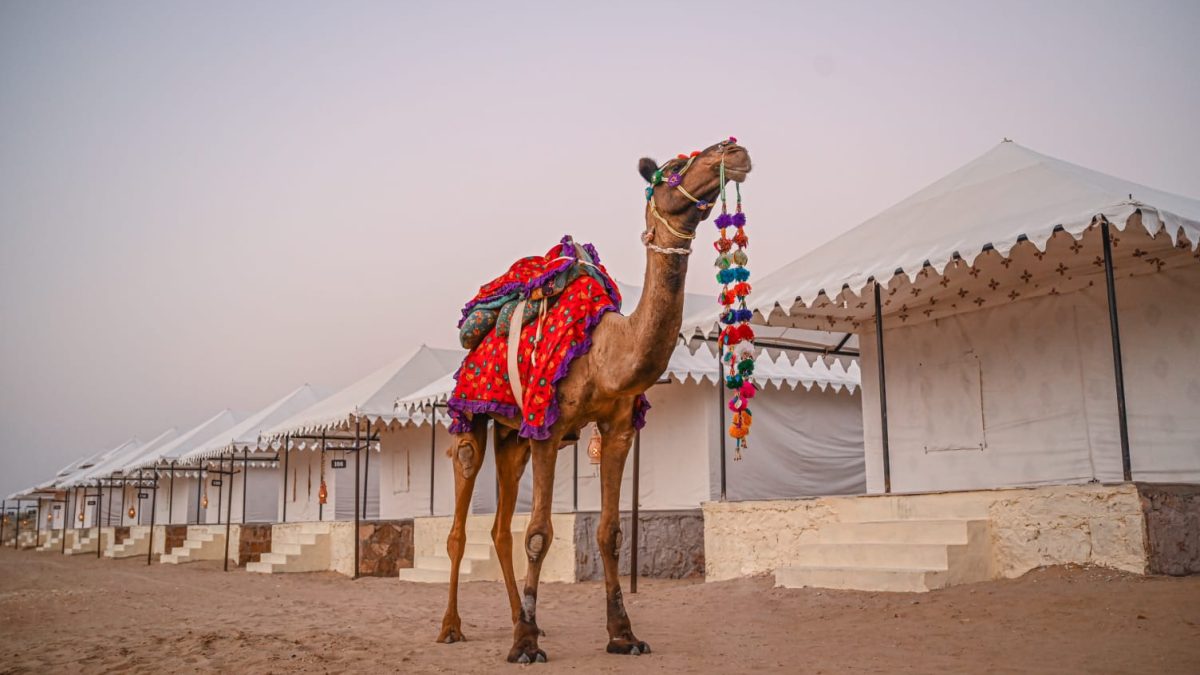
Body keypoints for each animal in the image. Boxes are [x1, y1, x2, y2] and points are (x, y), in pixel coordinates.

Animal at [436, 138, 744, 662]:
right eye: (674, 167)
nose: (733, 148)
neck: (605, 354)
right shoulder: (548, 427)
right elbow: (539, 534)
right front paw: (524, 647)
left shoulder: (617, 429)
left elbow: (611, 532)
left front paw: (622, 635)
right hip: (473, 416)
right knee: (462, 517)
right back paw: (453, 627)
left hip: (513, 435)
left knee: (499, 528)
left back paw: (521, 619)